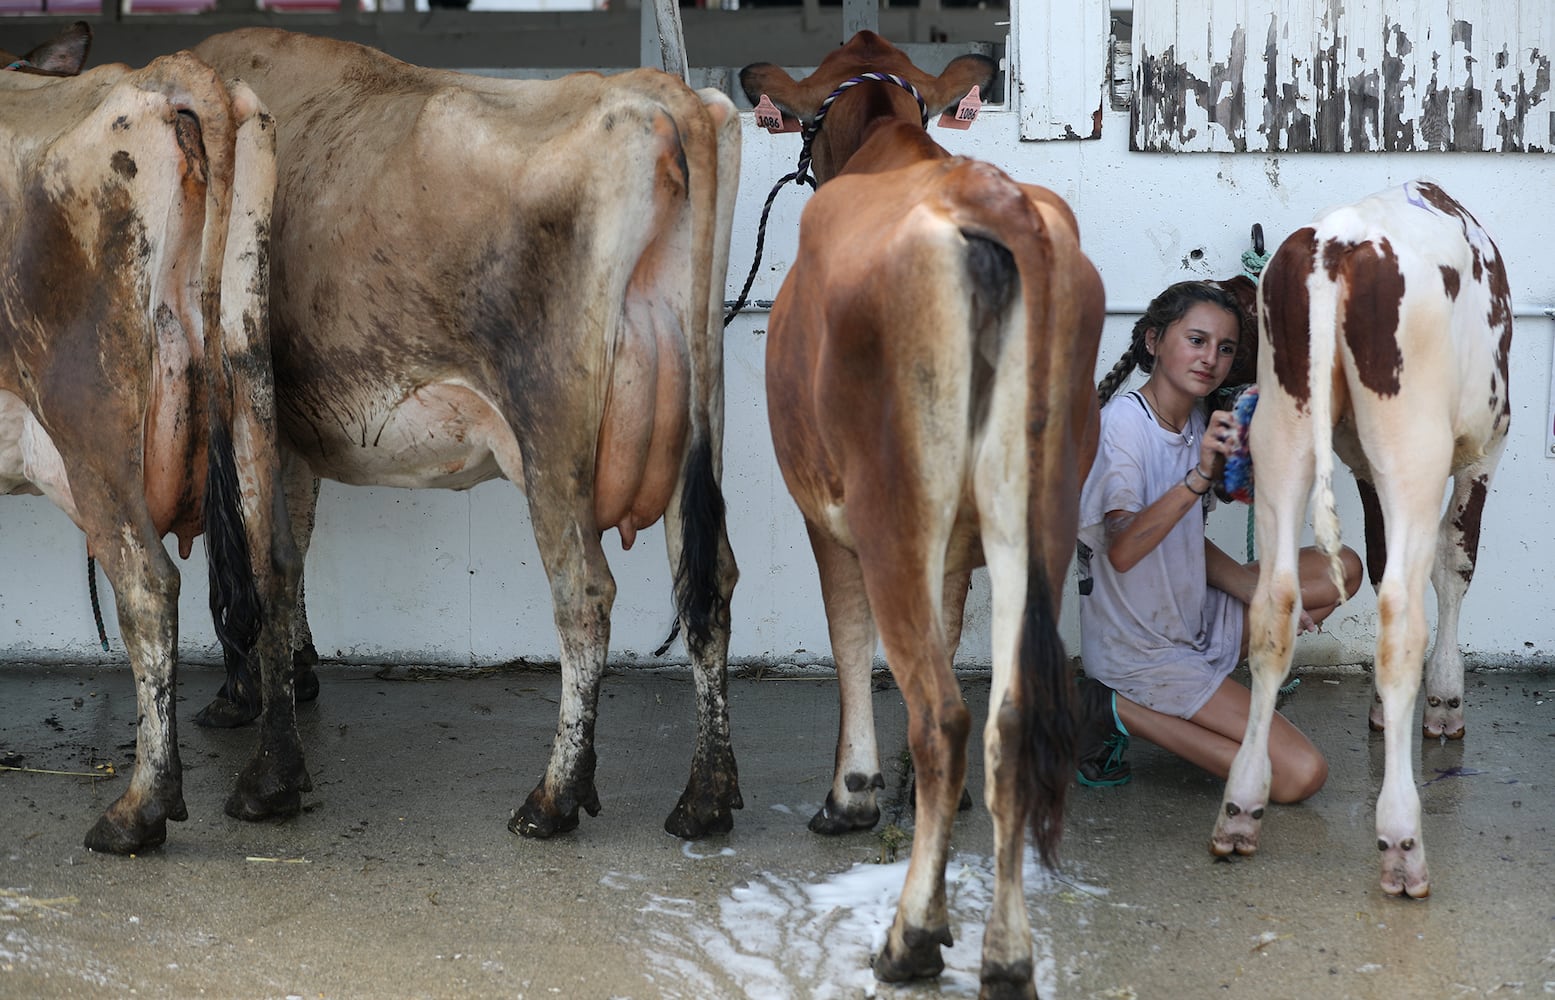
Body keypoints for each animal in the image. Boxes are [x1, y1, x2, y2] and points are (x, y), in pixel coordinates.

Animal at [0, 23, 300, 852]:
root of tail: (167, 78)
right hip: (248, 373)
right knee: (273, 562)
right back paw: (271, 782)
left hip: (88, 418)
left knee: (147, 585)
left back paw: (140, 809)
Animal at [188, 27, 746, 839]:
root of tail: (658, 93)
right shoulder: (294, 427)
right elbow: (296, 549)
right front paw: (296, 669)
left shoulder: (243, 400)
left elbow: (258, 561)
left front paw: (255, 735)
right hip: (694, 428)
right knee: (709, 585)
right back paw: (706, 796)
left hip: (550, 437)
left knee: (585, 595)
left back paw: (554, 798)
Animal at [740, 33, 1107, 1000]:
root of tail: (995, 204)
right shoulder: (958, 546)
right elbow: (942, 630)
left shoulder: (821, 509)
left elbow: (846, 642)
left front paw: (853, 793)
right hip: (1037, 511)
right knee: (1006, 715)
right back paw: (1006, 957)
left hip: (890, 507)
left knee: (943, 712)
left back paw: (911, 937)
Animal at [1219, 179, 1511, 902]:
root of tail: (1337, 245)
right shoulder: (1485, 447)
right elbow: (1454, 563)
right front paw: (1442, 701)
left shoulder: (1357, 465)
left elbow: (1382, 564)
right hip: (1412, 451)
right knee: (1399, 615)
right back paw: (1402, 842)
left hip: (1282, 434)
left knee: (1273, 608)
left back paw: (1240, 807)